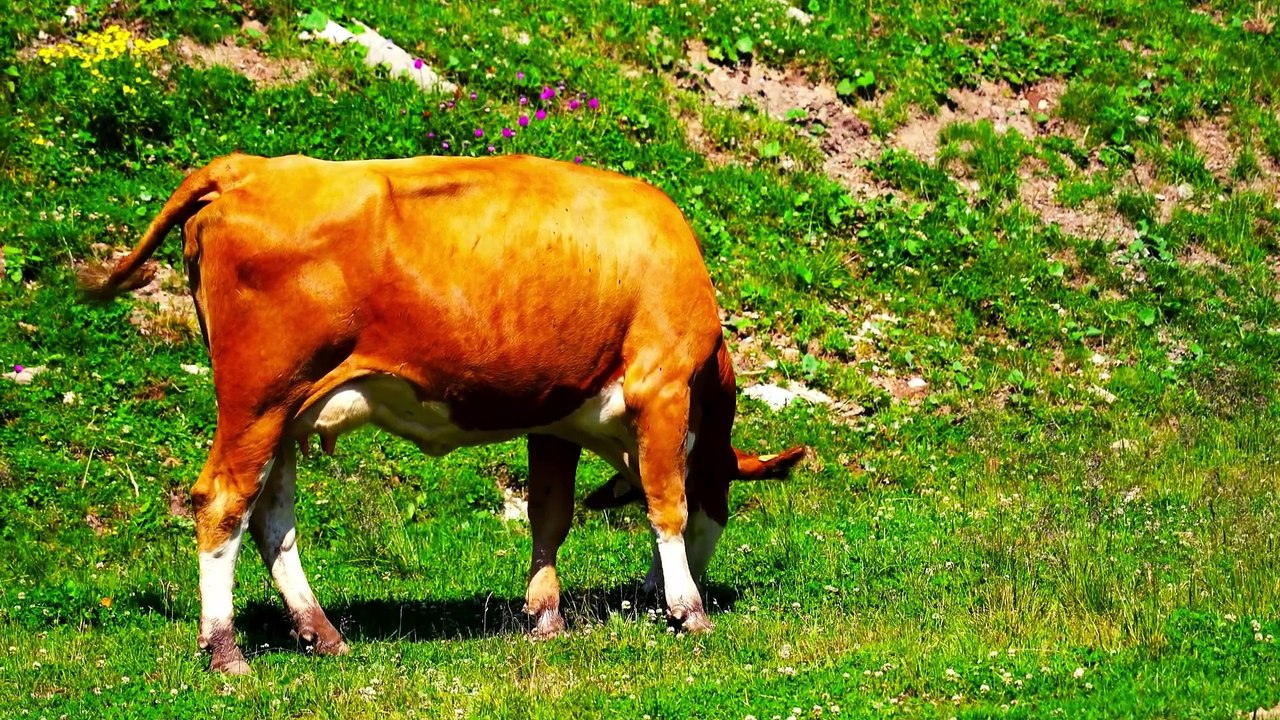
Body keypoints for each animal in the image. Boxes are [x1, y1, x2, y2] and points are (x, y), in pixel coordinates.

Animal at [79, 152, 807, 674]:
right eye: (724, 495)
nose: (653, 599)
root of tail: (247, 167)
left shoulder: (557, 417)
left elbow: (550, 515)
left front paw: (546, 617)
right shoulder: (662, 388)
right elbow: (667, 504)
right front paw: (688, 608)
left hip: (283, 413)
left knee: (272, 518)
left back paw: (322, 633)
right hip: (257, 398)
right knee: (222, 503)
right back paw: (226, 650)